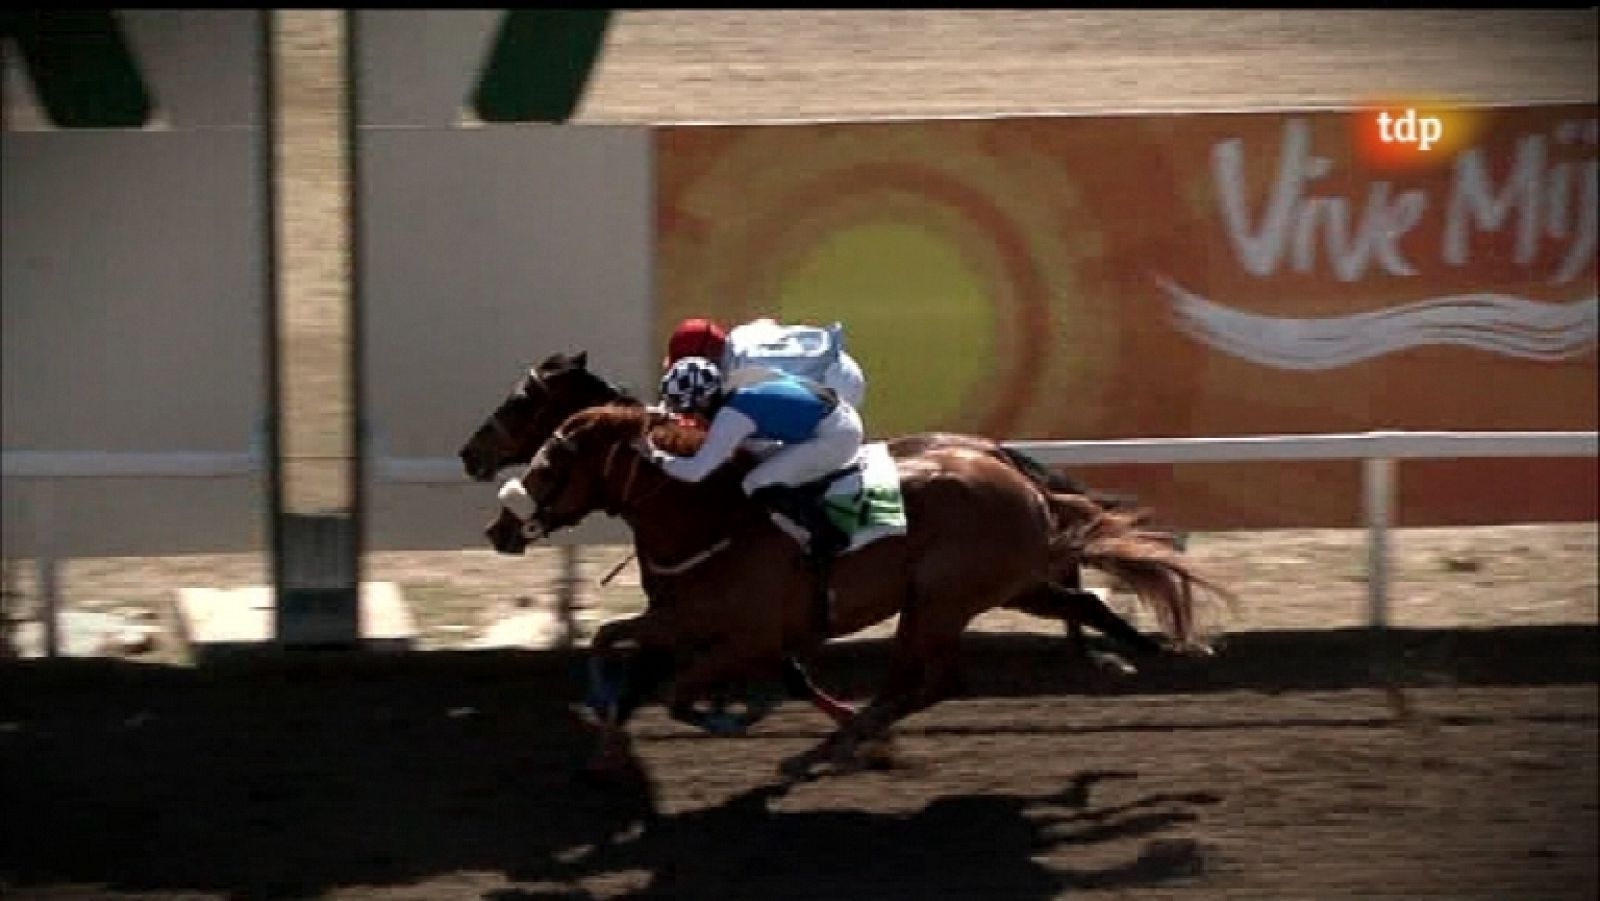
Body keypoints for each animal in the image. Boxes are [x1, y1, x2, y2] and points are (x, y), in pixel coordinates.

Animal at [489, 401, 1231, 781]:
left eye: (551, 461)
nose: (499, 525)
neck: (709, 516)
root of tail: (1018, 477)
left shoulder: (747, 636)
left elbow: (679, 691)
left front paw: (721, 717)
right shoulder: (679, 617)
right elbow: (607, 638)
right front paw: (607, 741)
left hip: (942, 597)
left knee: (933, 679)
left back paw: (840, 744)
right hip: (1008, 584)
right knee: (1073, 609)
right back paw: (1142, 652)